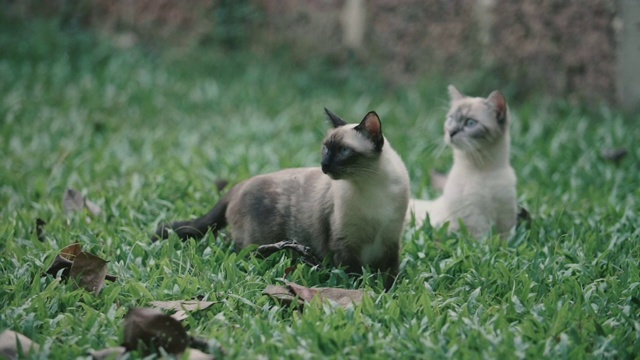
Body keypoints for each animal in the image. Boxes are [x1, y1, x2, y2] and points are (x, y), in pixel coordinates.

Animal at [156, 109, 410, 290]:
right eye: (325, 149)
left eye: (343, 151)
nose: (324, 165)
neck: (371, 187)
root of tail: (240, 184)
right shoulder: (345, 245)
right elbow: (354, 277)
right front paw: (364, 289)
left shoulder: (390, 241)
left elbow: (391, 276)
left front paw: (389, 291)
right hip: (255, 243)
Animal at [408, 85, 516, 239]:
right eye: (450, 119)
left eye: (470, 123)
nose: (451, 132)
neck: (483, 168)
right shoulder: (475, 222)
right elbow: (484, 240)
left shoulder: (505, 221)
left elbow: (504, 240)